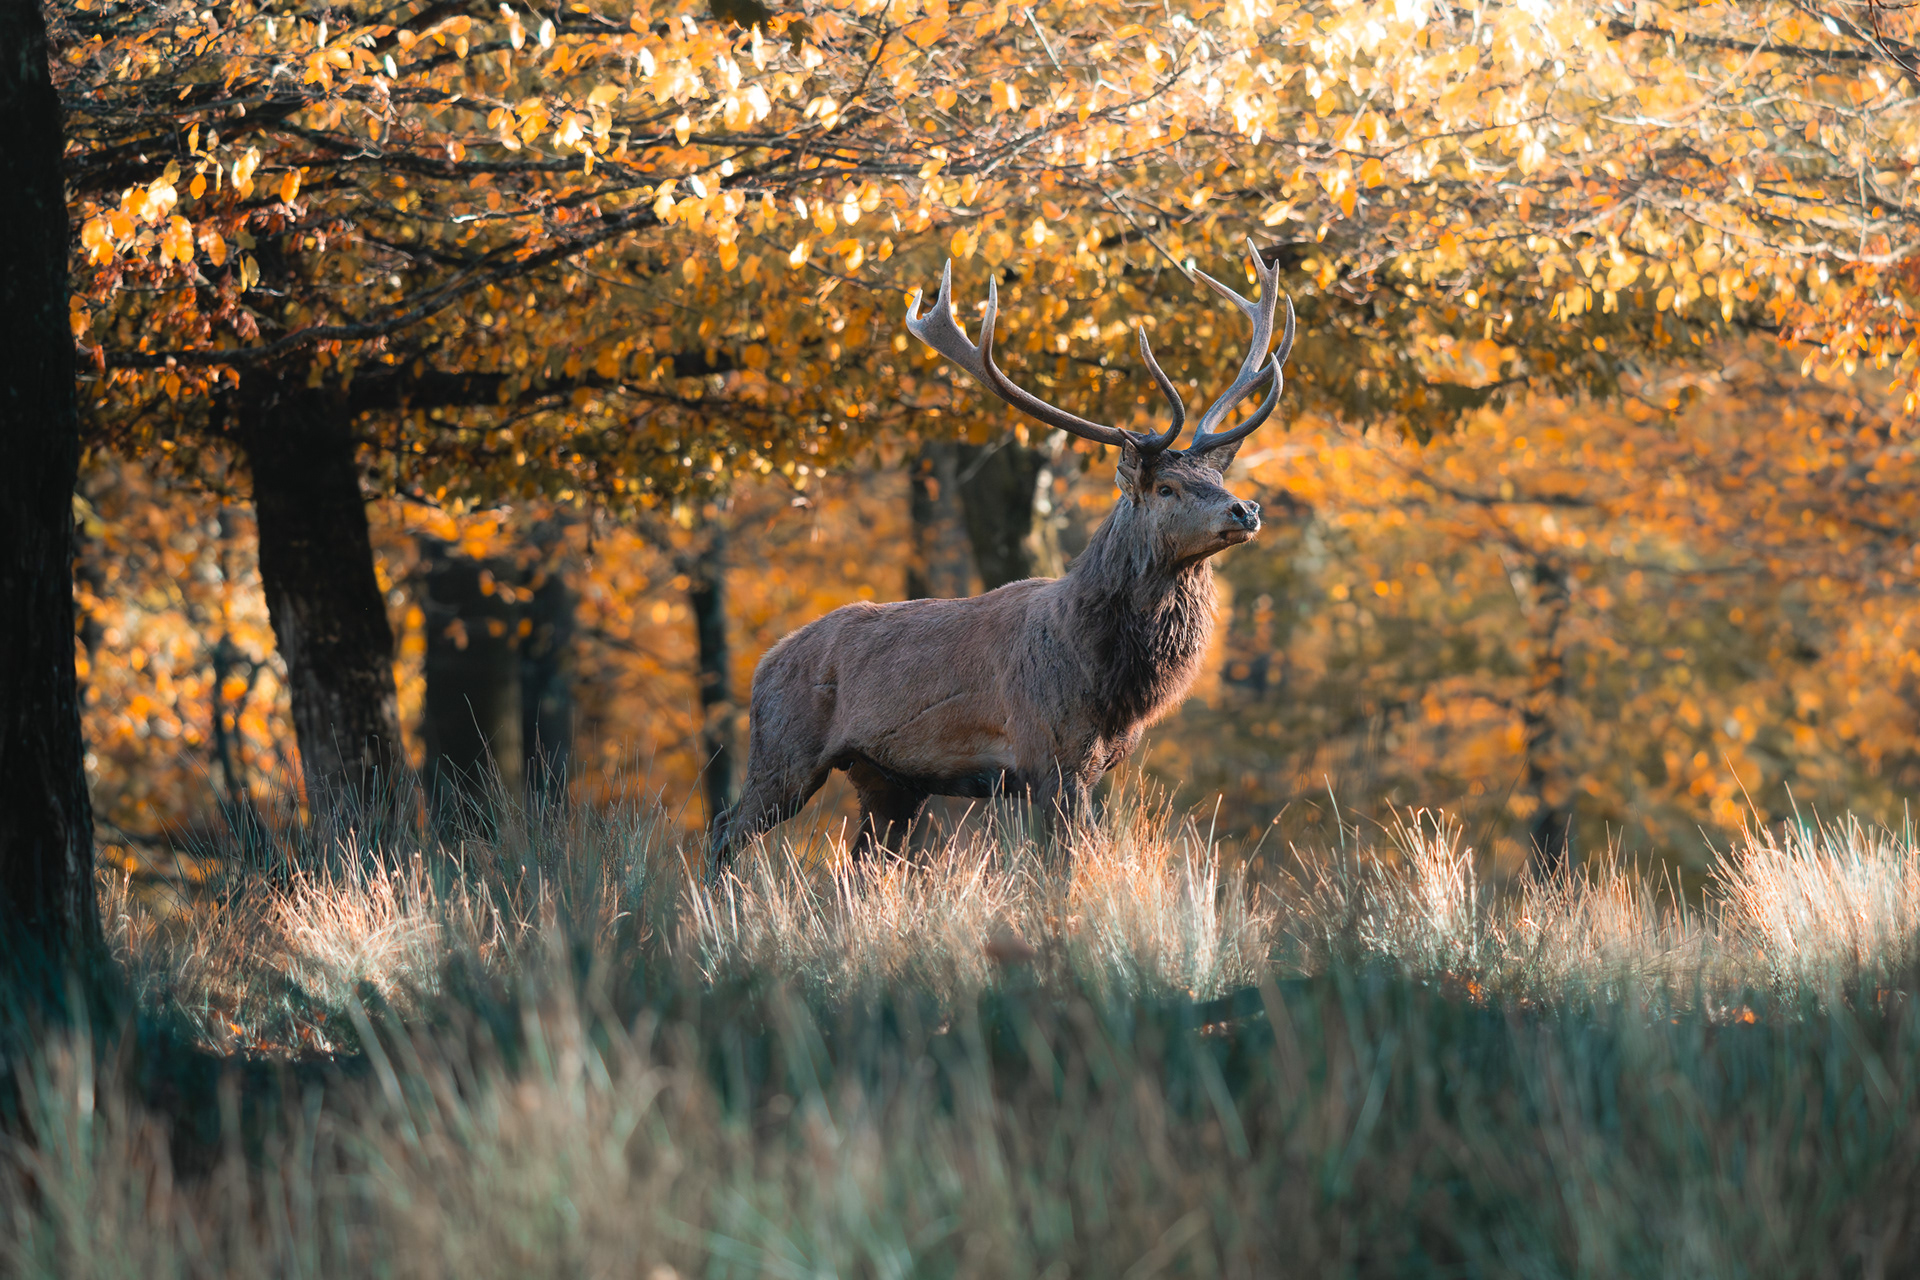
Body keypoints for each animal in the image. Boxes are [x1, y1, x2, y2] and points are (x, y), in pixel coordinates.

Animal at [706, 241, 1294, 872]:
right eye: (1166, 488)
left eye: (1216, 476)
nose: (1245, 510)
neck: (1107, 676)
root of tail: (764, 665)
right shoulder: (1049, 752)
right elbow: (1068, 864)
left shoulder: (1095, 765)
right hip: (783, 752)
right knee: (725, 828)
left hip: (887, 780)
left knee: (862, 859)